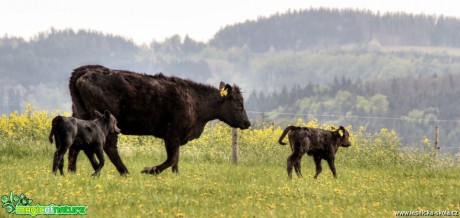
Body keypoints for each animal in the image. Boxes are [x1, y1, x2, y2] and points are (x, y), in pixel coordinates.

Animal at [67, 64, 252, 175]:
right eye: (238, 104)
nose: (247, 123)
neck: (194, 100)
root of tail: (85, 71)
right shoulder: (172, 135)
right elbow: (171, 159)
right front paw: (149, 170)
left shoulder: (176, 138)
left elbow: (175, 160)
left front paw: (176, 175)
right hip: (107, 121)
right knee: (110, 147)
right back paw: (125, 173)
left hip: (81, 114)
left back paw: (71, 172)